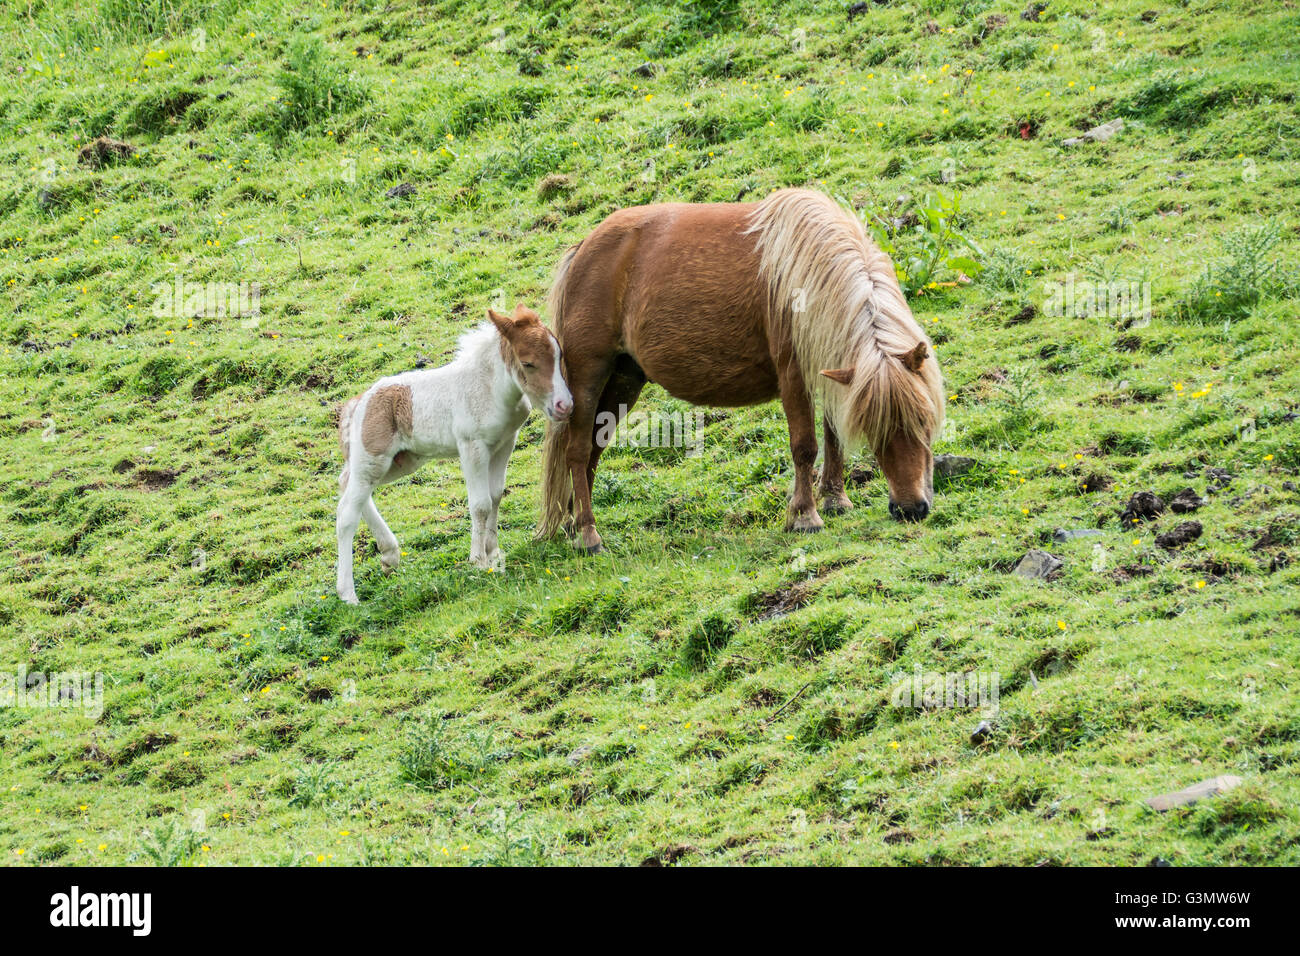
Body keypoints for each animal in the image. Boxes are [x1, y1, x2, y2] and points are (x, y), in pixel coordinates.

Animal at [338, 306, 572, 606]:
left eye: (559, 355)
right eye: (528, 363)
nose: (564, 406)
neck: (488, 388)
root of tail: (358, 403)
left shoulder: (505, 443)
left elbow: (496, 496)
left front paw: (494, 554)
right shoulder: (472, 447)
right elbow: (481, 504)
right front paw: (479, 561)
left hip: (399, 462)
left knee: (347, 484)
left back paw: (390, 556)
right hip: (374, 459)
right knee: (346, 513)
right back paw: (348, 594)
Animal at [535, 187, 946, 554]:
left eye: (924, 420)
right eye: (878, 428)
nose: (911, 509)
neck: (803, 271)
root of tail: (583, 248)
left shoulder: (831, 368)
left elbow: (834, 438)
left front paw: (835, 500)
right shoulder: (794, 375)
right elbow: (805, 446)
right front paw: (805, 516)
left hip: (623, 382)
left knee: (592, 450)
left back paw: (573, 524)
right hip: (589, 378)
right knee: (577, 451)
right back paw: (588, 535)